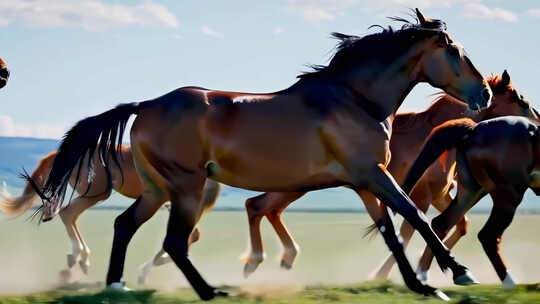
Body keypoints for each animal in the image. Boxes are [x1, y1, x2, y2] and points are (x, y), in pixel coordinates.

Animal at [29, 8, 494, 300]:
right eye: (455, 51)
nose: (484, 94)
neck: (354, 99)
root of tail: (145, 105)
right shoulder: (373, 174)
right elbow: (415, 217)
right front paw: (458, 274)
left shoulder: (363, 183)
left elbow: (392, 230)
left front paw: (423, 285)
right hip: (186, 186)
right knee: (175, 241)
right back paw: (210, 291)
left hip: (157, 189)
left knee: (126, 225)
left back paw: (117, 286)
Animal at [402, 115, 540, 288]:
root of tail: (474, 130)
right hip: (508, 194)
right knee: (488, 236)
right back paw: (510, 283)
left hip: (472, 191)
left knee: (442, 223)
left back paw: (434, 273)